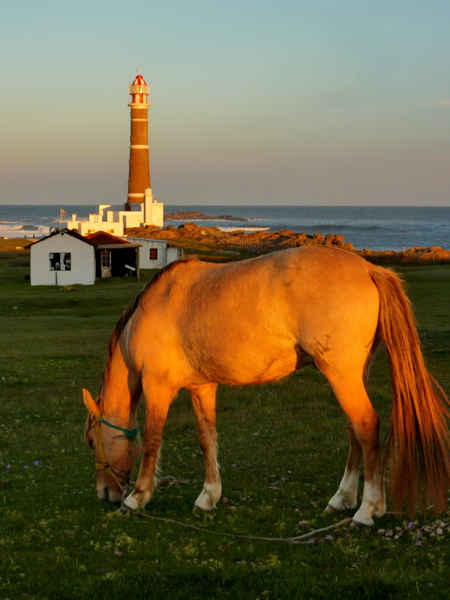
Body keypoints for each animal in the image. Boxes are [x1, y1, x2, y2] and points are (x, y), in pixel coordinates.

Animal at [81, 245, 450, 524]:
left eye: (90, 441)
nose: (104, 493)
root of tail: (369, 269)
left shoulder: (157, 387)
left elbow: (153, 441)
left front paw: (138, 497)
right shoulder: (203, 388)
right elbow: (206, 438)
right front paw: (208, 496)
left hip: (341, 374)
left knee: (367, 426)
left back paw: (367, 510)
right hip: (351, 376)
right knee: (354, 430)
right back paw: (341, 499)